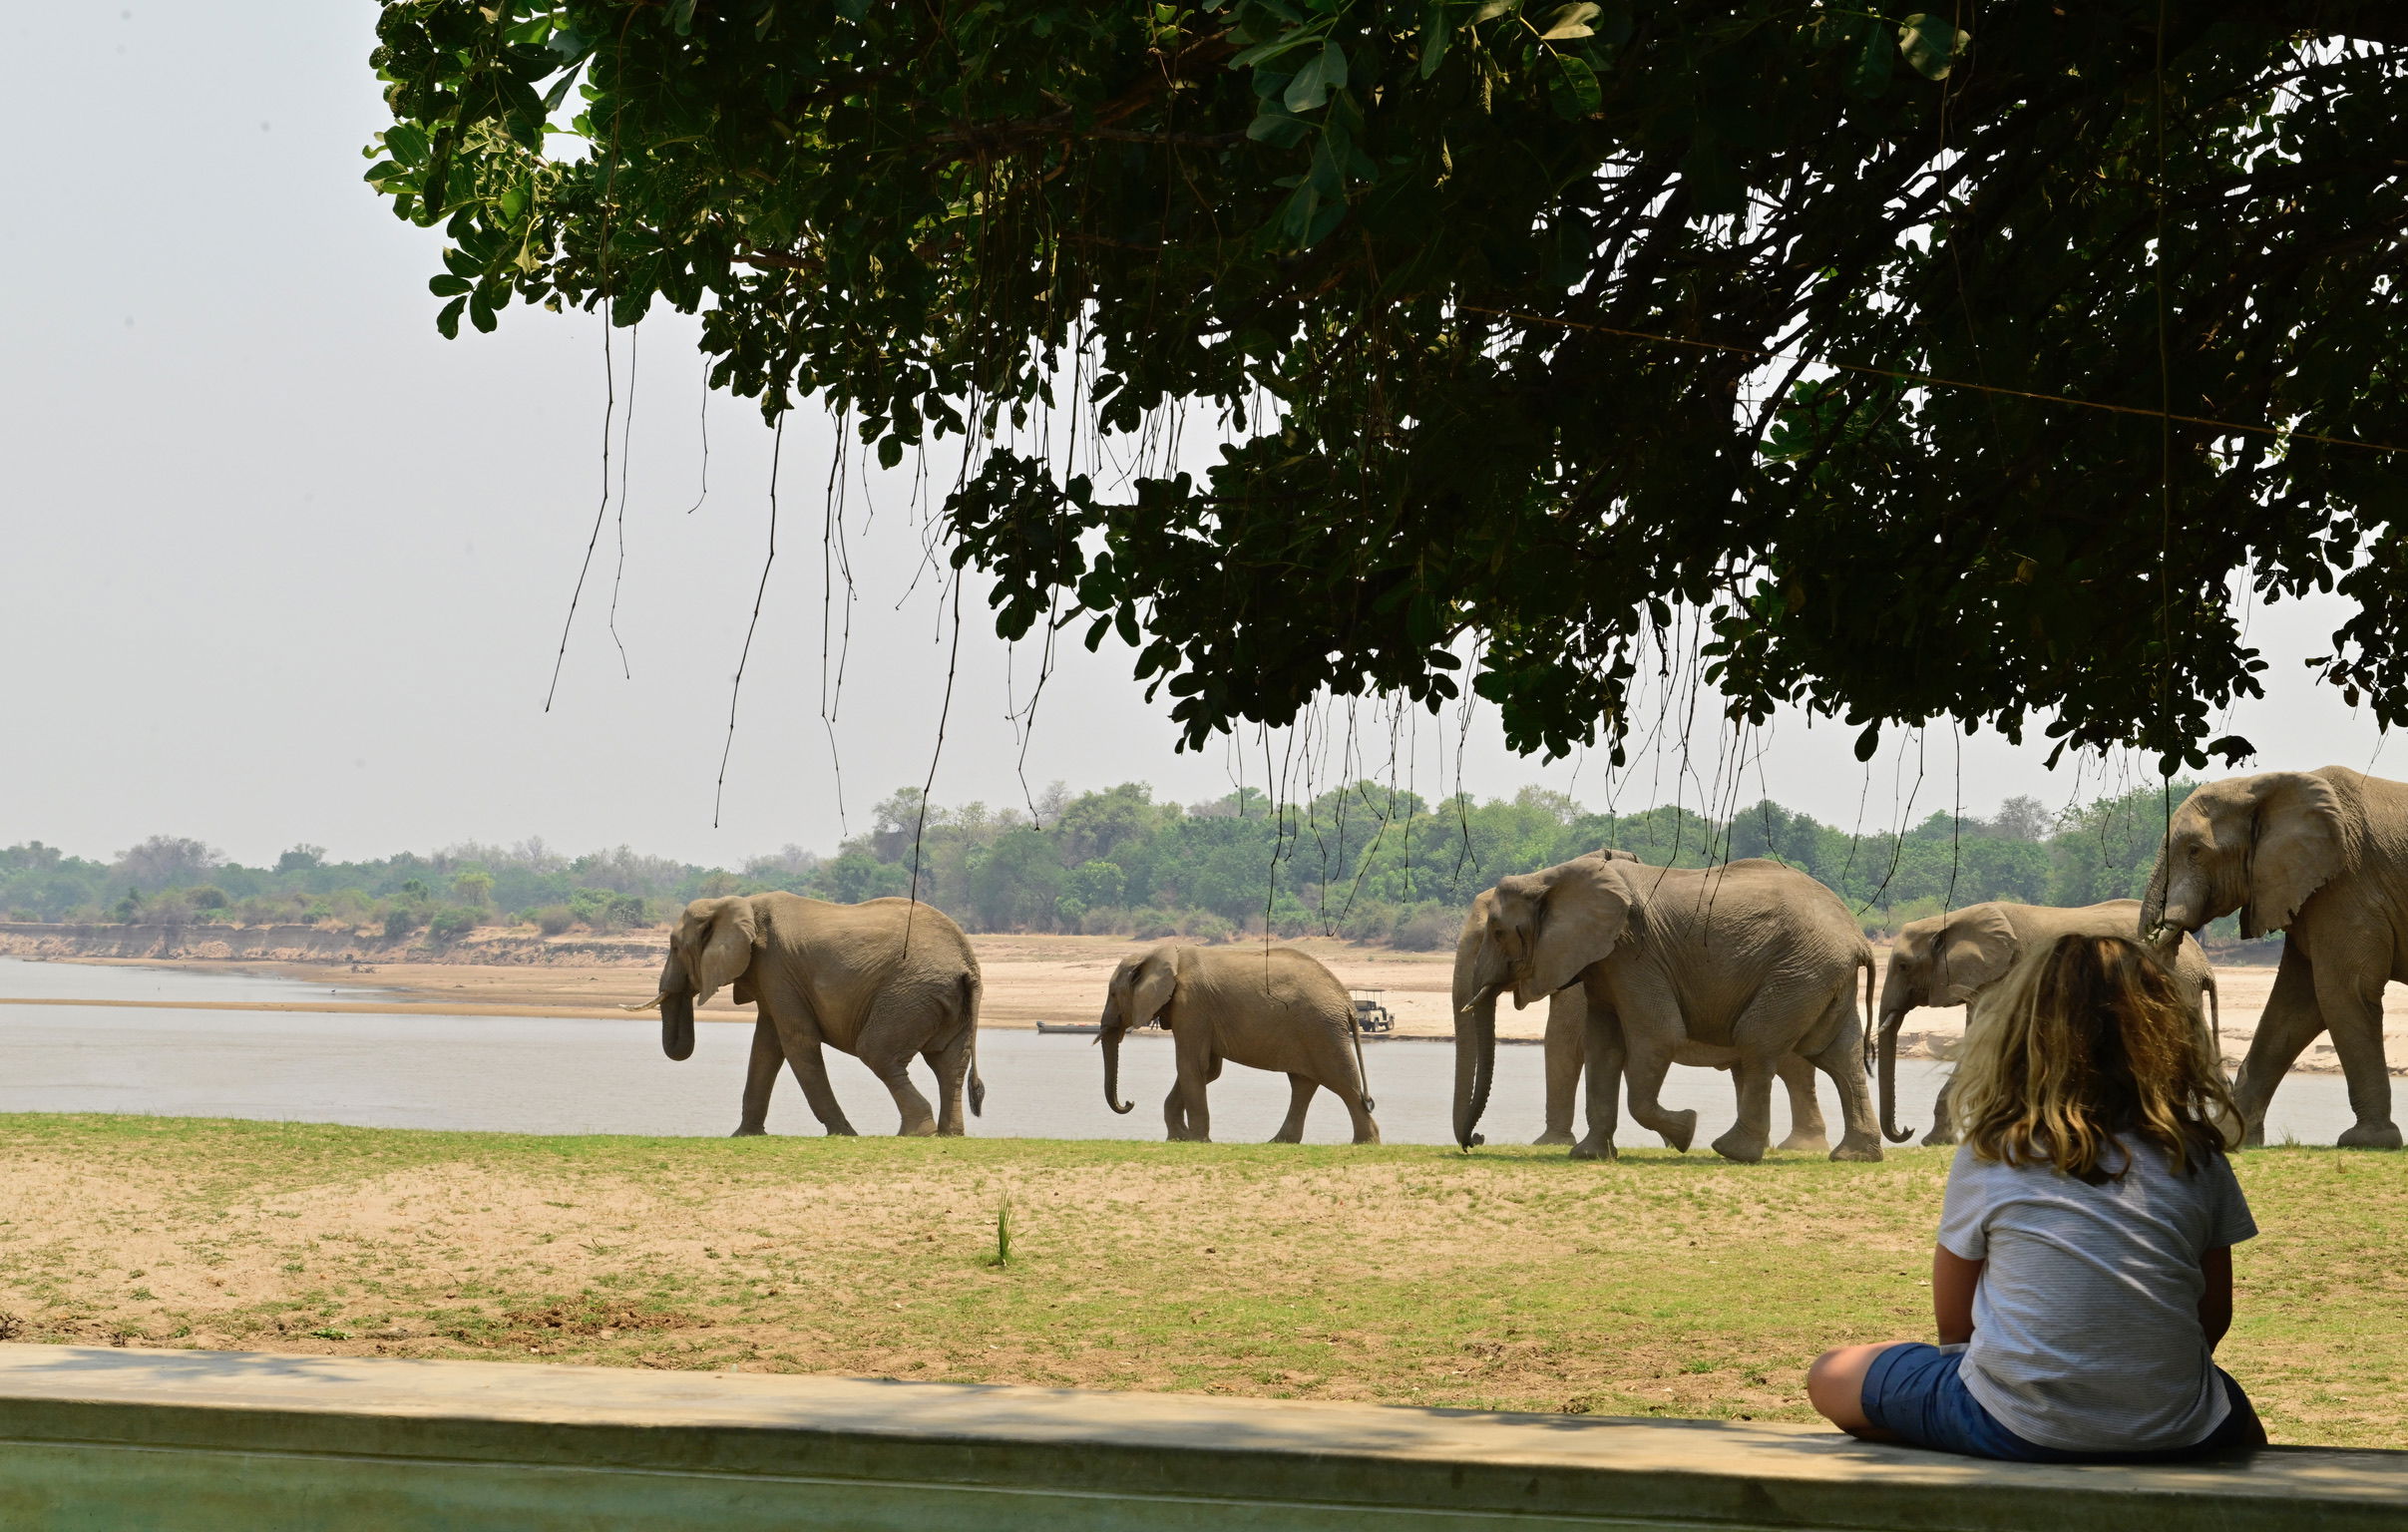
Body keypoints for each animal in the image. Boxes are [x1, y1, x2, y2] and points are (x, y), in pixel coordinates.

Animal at [633, 893, 985, 1137]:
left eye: (674, 947)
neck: (737, 903)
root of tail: (966, 962)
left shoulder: (776, 966)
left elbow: (797, 1042)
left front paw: (845, 1134)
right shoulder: (769, 974)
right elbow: (766, 1046)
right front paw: (743, 1135)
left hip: (909, 994)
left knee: (877, 1052)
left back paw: (914, 1133)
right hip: (942, 999)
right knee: (949, 1063)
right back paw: (948, 1134)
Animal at [1098, 942, 1379, 1143]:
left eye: (1112, 994)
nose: (1129, 1102)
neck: (1160, 954)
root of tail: (1346, 1000)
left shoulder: (1192, 1007)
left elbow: (1191, 1065)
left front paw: (1197, 1141)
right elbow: (1208, 1070)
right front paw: (1179, 1139)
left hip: (1321, 1028)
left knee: (1341, 1081)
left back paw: (1365, 1143)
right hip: (1313, 1030)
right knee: (1303, 1084)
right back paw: (1278, 1142)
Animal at [1455, 854, 1881, 1163]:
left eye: (1497, 932)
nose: (1476, 1139)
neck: (1549, 877)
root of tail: (1858, 936)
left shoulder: (1635, 954)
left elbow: (1657, 1037)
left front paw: (1685, 1130)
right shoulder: (1604, 961)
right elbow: (1602, 1046)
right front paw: (1590, 1156)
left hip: (1801, 971)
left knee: (1758, 1043)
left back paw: (1733, 1152)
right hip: (1821, 976)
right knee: (1837, 1055)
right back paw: (1854, 1157)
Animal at [1874, 899, 2219, 1146]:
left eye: (1903, 966)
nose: (1906, 1129)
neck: (1948, 919)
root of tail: (2204, 963)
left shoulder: (2003, 975)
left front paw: (1933, 1141)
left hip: (2173, 979)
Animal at [2143, 765, 2407, 1148]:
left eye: (2194, 851)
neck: (2264, 787)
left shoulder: (2348, 884)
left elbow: (2343, 992)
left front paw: (2366, 1141)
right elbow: (2295, 1007)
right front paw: (2230, 1139)